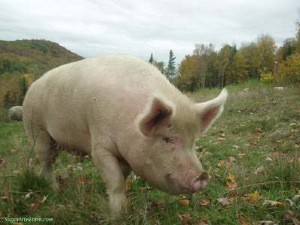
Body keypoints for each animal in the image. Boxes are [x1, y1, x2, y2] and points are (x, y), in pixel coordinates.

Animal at [22, 55, 227, 217]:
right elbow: (116, 182)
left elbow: (124, 176)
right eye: (167, 139)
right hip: (37, 130)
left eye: (192, 141)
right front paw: (118, 215)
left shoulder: (127, 154)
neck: (130, 122)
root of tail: (30, 89)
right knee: (46, 162)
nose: (202, 176)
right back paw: (56, 190)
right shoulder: (100, 147)